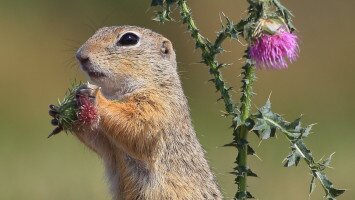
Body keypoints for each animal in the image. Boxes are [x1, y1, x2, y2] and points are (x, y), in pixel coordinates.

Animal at [70, 25, 221, 199]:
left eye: (129, 39)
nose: (80, 55)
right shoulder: (110, 145)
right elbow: (98, 141)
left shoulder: (159, 106)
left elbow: (138, 127)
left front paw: (96, 97)